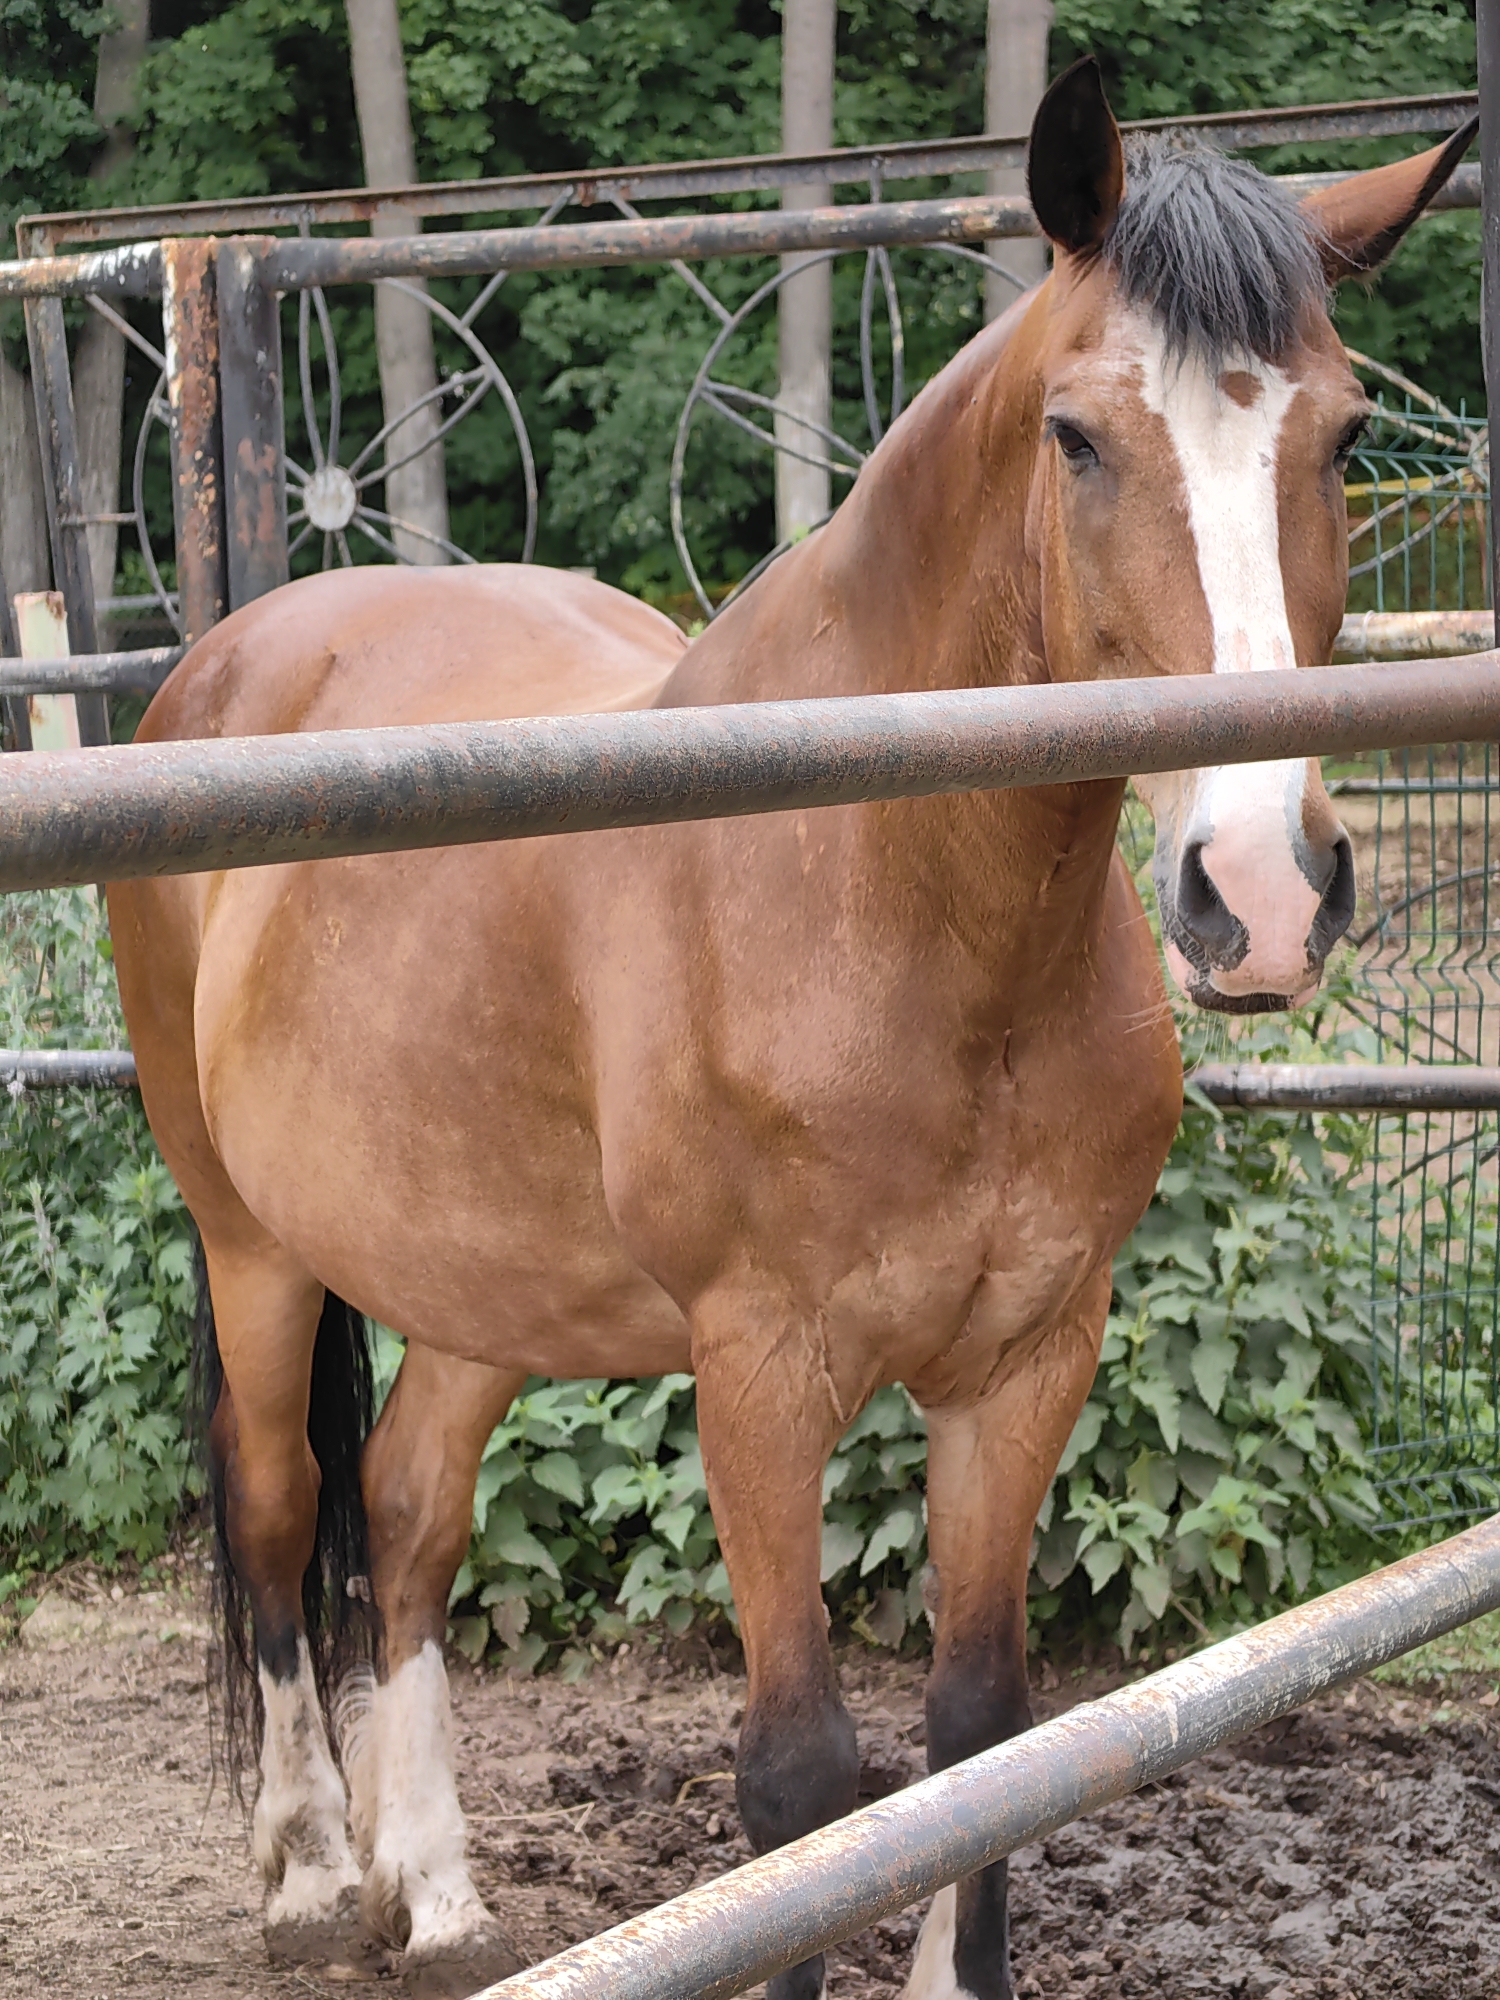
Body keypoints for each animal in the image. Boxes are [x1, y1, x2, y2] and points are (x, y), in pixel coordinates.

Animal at [107, 58, 1471, 2000]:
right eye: (1076, 438)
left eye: (1345, 438)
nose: (1262, 895)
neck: (899, 901)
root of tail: (231, 659)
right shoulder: (761, 1376)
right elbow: (806, 1787)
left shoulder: (1029, 1356)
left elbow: (981, 1735)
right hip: (249, 1240)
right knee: (285, 1500)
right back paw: (305, 1867)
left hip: (474, 1272)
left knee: (415, 1509)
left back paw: (431, 1888)